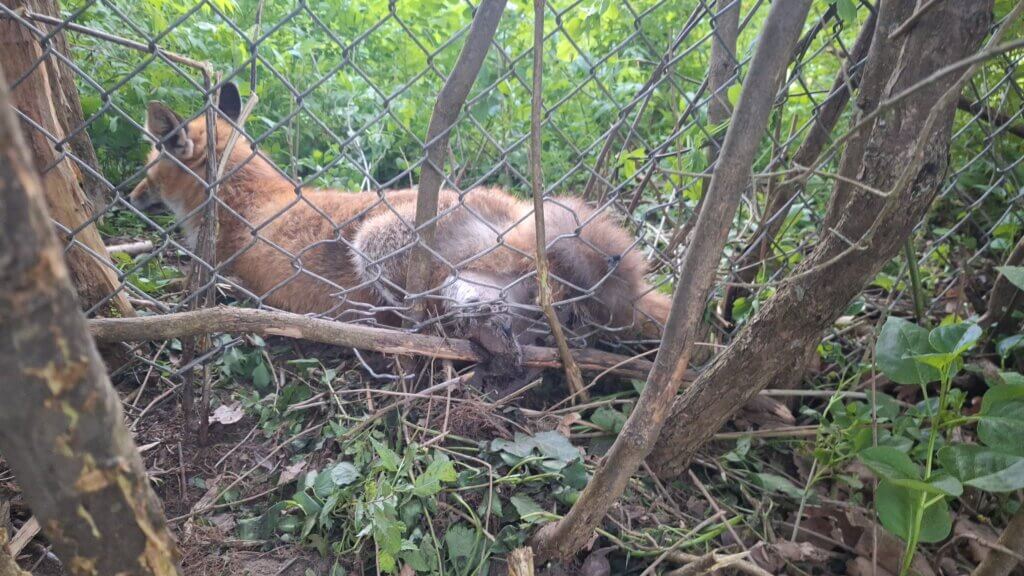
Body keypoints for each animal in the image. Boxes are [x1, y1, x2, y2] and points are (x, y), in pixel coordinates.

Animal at [130, 82, 670, 369]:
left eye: (149, 166)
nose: (130, 195)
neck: (250, 195)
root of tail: (516, 211)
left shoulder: (215, 270)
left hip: (375, 245)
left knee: (424, 315)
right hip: (496, 294)